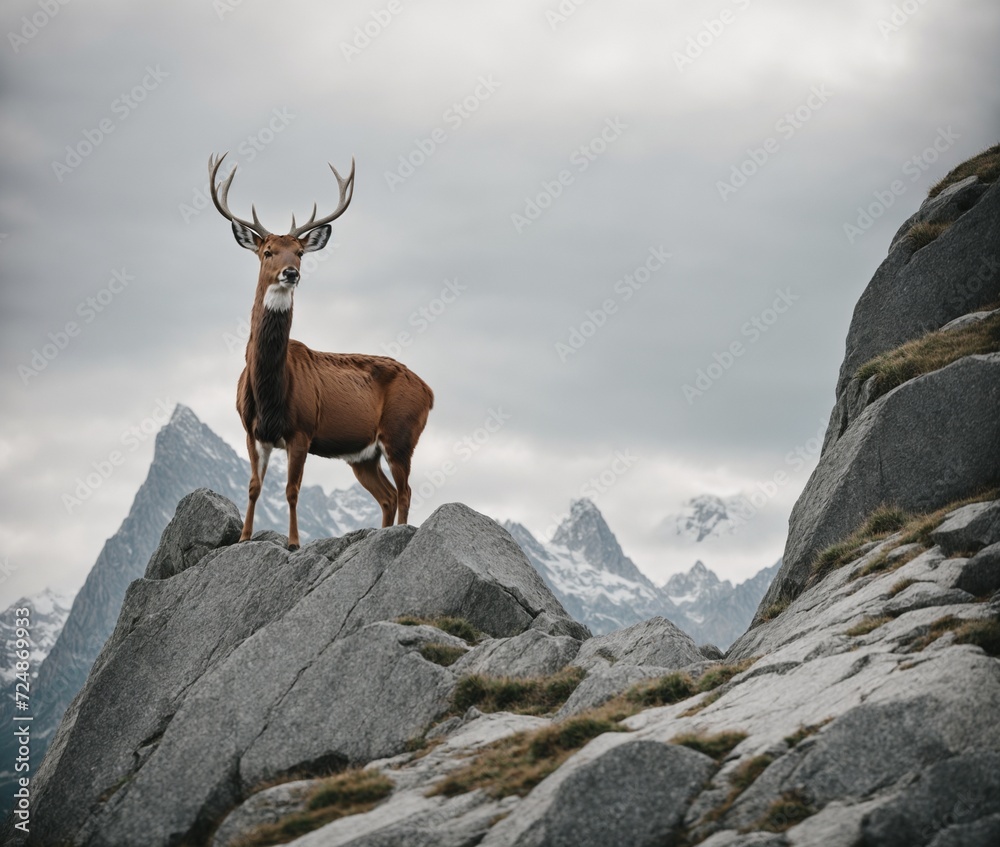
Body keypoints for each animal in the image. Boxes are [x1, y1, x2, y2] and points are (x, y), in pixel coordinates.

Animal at [209, 152, 432, 548]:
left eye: (300, 252)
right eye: (267, 251)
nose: (291, 273)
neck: (270, 390)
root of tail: (430, 392)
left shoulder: (302, 428)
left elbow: (292, 489)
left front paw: (294, 542)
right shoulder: (251, 430)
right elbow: (253, 486)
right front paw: (244, 537)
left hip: (402, 432)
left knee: (405, 491)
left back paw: (398, 534)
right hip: (364, 456)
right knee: (389, 495)